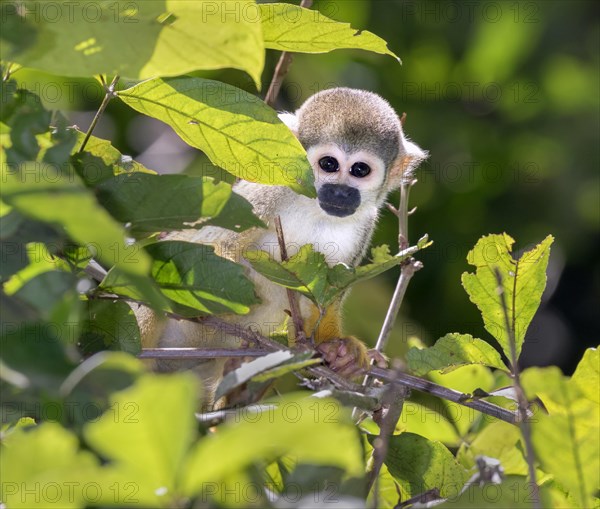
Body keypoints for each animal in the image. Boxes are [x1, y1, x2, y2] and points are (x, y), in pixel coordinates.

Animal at [136, 88, 426, 404]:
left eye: (360, 170)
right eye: (329, 165)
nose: (340, 192)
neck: (313, 207)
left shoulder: (365, 224)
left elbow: (323, 297)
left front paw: (340, 352)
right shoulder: (270, 189)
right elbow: (217, 243)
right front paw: (227, 302)